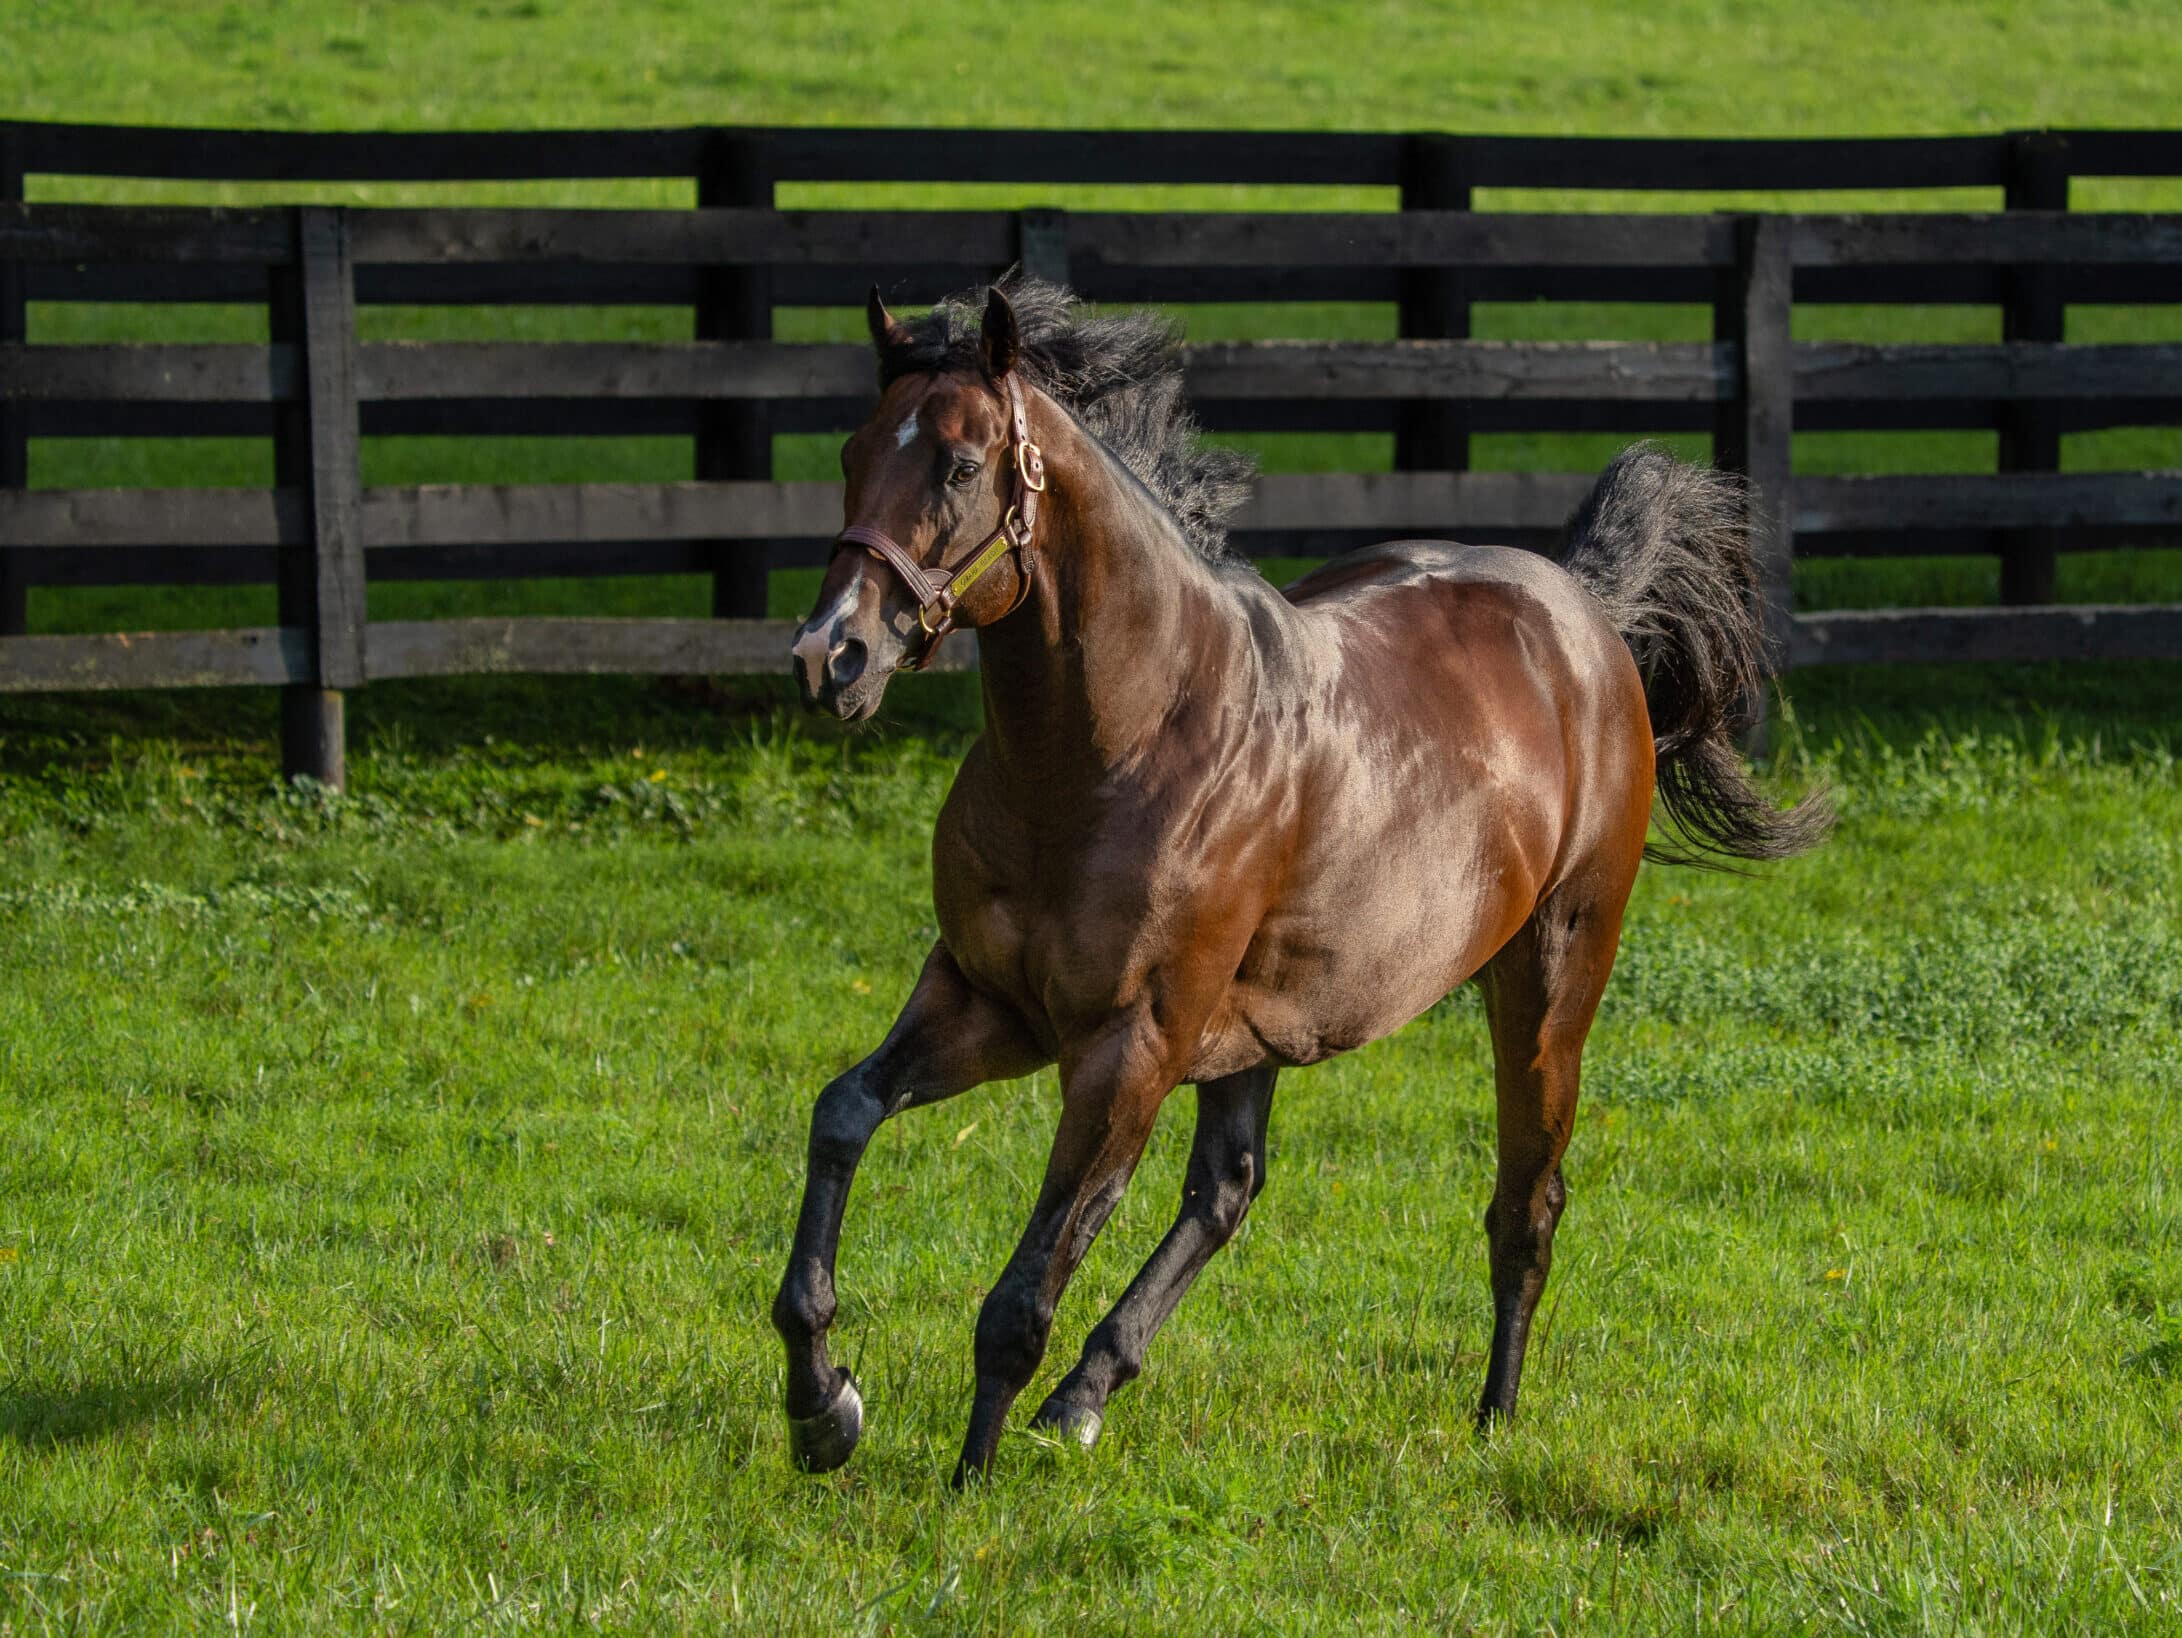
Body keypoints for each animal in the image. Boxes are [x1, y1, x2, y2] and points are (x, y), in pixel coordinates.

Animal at [768, 275, 1824, 1483]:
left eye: (956, 465)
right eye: (852, 454)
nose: (830, 657)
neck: (1116, 748)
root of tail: (1584, 608)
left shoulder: (1127, 1048)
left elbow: (1028, 1286)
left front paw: (964, 1486)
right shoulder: (986, 1001)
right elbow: (844, 1112)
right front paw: (824, 1405)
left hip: (1551, 976)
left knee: (1526, 1201)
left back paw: (1492, 1417)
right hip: (1253, 1029)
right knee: (1227, 1189)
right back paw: (1083, 1399)